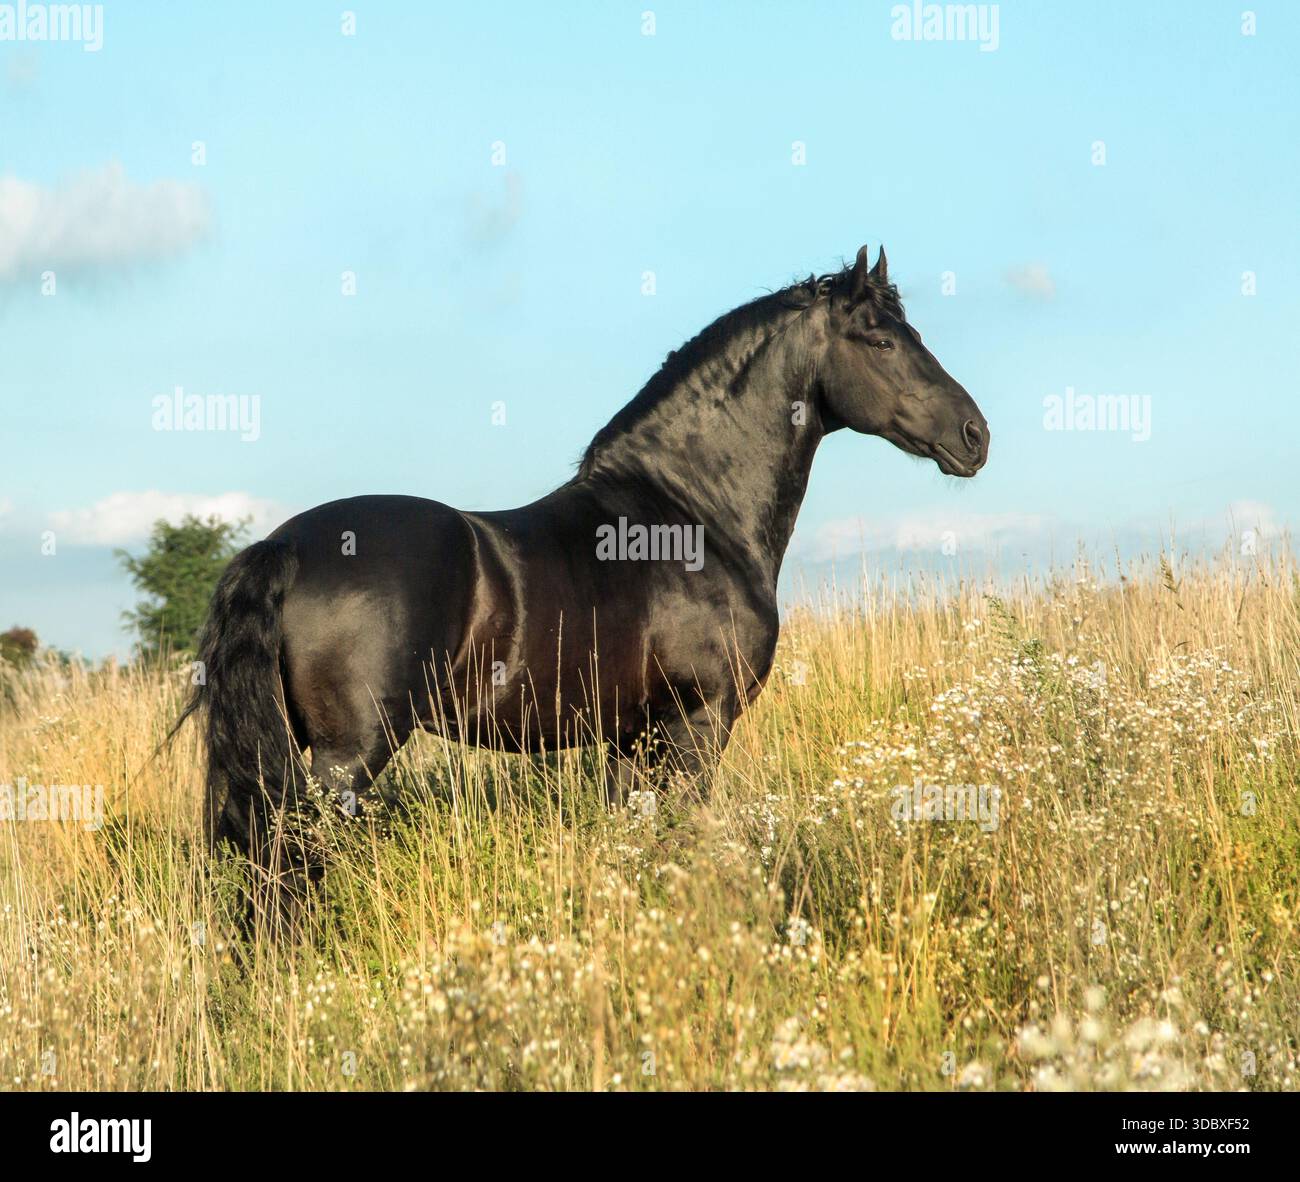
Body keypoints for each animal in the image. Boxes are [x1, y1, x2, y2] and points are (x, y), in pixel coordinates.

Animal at [178, 243, 990, 927]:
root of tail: (287, 545)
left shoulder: (631, 739)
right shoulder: (700, 724)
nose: (975, 436)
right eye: (881, 342)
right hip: (347, 757)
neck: (689, 511)